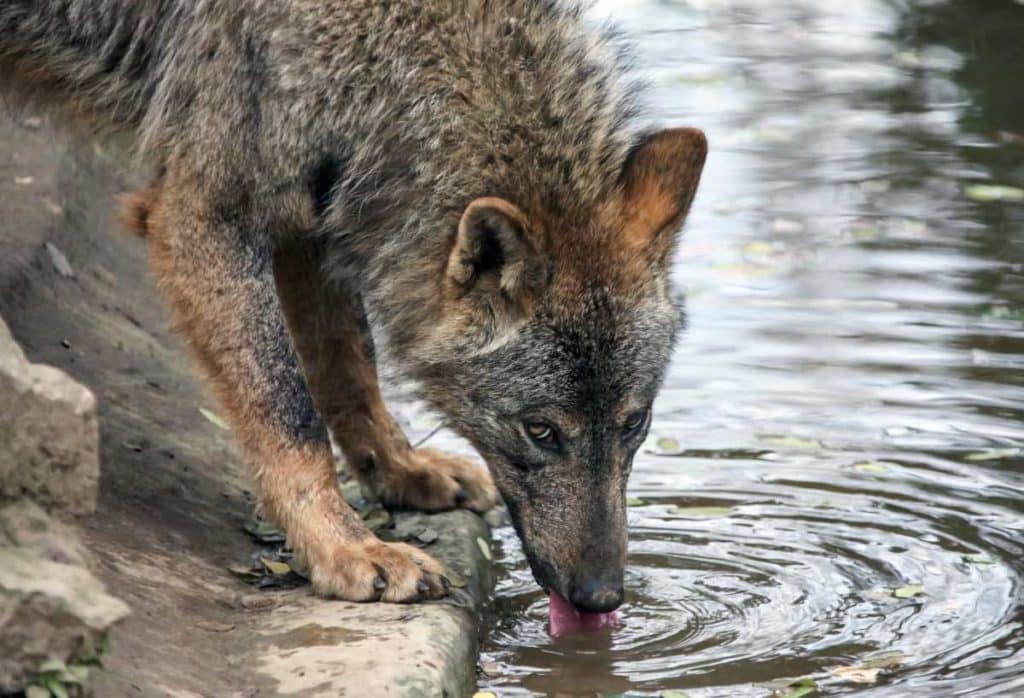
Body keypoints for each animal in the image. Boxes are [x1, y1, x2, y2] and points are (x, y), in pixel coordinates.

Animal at [0, 0, 705, 613]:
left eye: (635, 423)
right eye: (541, 430)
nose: (602, 598)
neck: (381, 44)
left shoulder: (317, 217)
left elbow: (350, 371)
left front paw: (401, 471)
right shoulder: (202, 218)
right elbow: (289, 412)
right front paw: (347, 550)